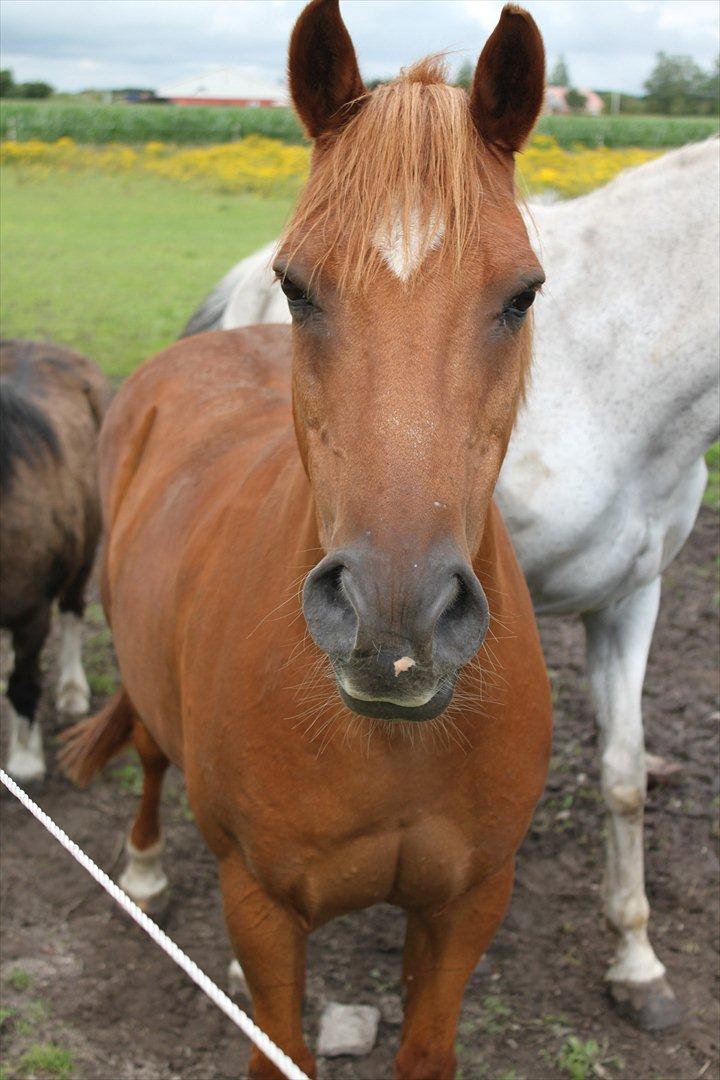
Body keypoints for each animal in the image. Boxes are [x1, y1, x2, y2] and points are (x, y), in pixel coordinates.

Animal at [64, 4, 557, 1075]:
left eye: (523, 294)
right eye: (295, 287)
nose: (395, 618)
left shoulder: (467, 907)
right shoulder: (261, 905)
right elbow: (275, 1042)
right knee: (152, 756)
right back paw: (145, 868)